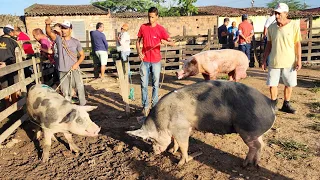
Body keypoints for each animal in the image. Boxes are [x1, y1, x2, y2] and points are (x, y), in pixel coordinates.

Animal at [127, 81, 276, 167]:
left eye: (150, 139)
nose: (154, 152)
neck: (162, 122)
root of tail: (270, 103)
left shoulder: (181, 128)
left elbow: (184, 146)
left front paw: (180, 163)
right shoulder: (183, 129)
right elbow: (175, 142)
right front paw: (171, 151)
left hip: (247, 130)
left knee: (255, 146)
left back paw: (244, 164)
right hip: (255, 132)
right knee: (261, 144)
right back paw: (255, 164)